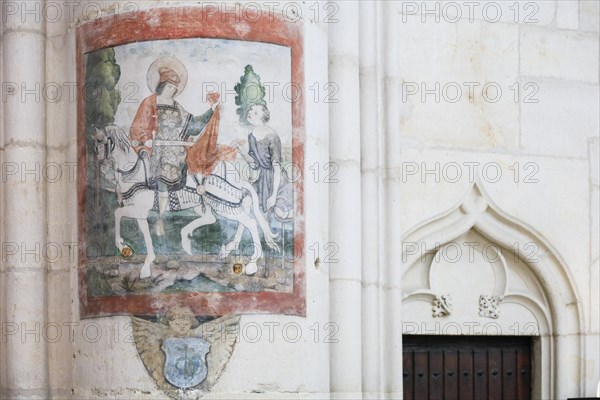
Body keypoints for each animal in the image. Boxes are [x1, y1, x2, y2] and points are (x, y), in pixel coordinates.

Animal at [92, 125, 278, 278]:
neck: (134, 173)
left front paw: (121, 245)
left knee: (249, 222)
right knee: (217, 218)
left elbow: (117, 213)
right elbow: (142, 231)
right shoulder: (139, 212)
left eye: (100, 141)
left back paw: (252, 262)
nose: (98, 160)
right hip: (206, 204)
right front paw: (145, 263)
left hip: (223, 204)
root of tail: (236, 175)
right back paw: (199, 244)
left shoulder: (140, 209)